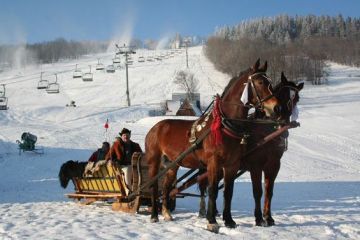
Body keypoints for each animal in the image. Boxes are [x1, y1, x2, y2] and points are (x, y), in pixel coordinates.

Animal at [145, 59, 280, 232]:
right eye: (260, 82)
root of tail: (156, 128)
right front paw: (212, 221)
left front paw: (229, 221)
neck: (225, 125)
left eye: (270, 82)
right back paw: (154, 215)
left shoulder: (232, 165)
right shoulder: (214, 163)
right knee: (155, 187)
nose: (276, 107)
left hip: (172, 164)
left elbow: (228, 192)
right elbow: (213, 191)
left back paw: (166, 213)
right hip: (154, 162)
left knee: (167, 187)